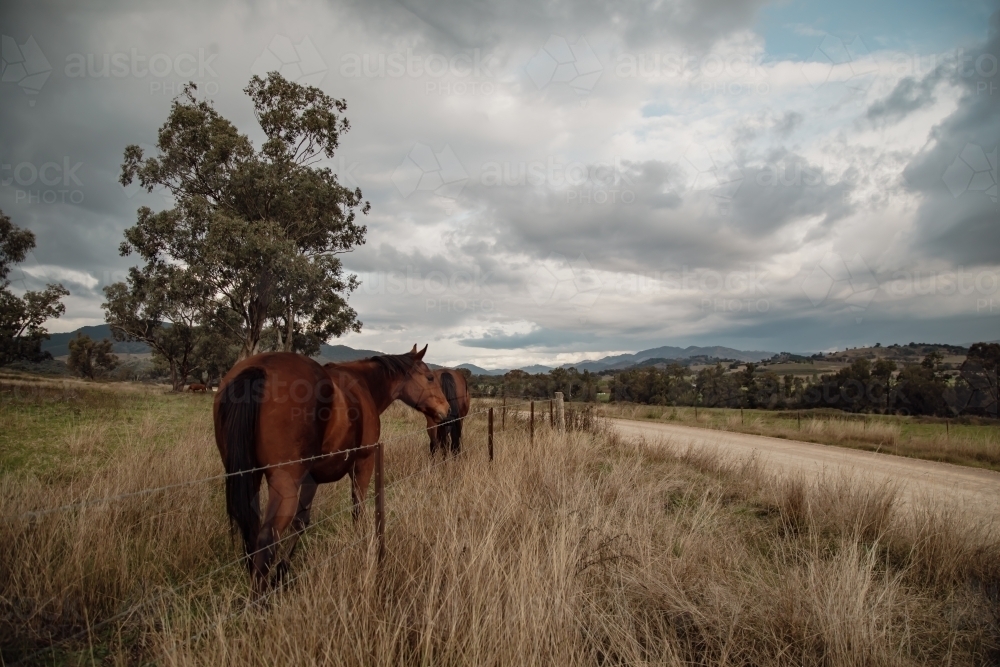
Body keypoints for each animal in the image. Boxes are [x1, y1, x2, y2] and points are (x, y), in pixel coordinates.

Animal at [213, 345, 450, 592]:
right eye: (430, 377)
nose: (446, 409)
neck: (363, 383)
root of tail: (259, 368)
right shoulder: (363, 462)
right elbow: (358, 510)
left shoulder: (311, 478)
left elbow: (301, 522)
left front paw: (281, 573)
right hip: (284, 485)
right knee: (266, 539)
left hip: (251, 478)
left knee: (251, 532)